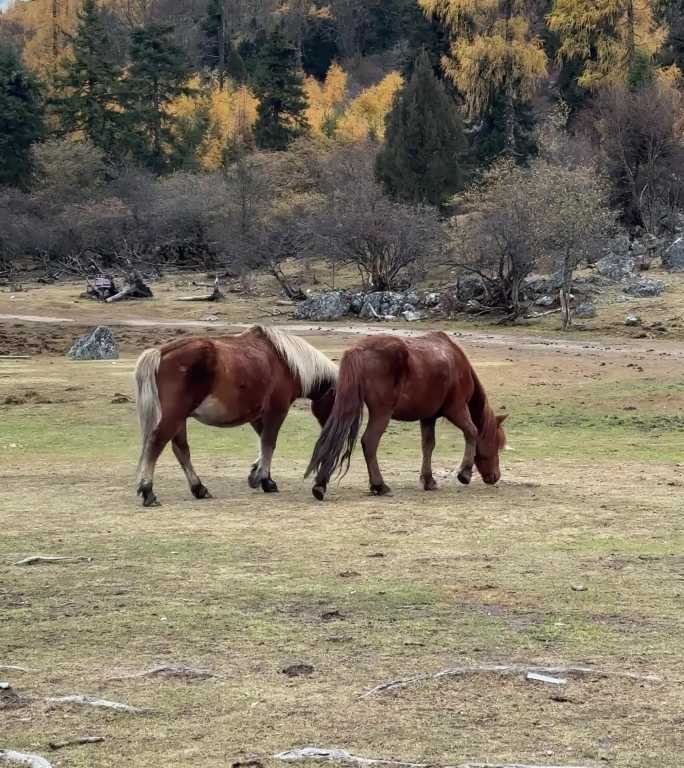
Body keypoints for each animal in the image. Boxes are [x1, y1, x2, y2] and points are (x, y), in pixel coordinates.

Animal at [134, 322, 336, 508]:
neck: (286, 363)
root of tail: (161, 353)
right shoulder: (277, 411)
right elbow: (269, 444)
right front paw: (265, 480)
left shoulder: (257, 416)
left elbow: (263, 444)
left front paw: (258, 475)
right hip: (173, 418)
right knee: (155, 445)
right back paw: (148, 491)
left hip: (180, 420)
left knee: (181, 450)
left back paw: (199, 488)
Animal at [304, 332, 508, 500]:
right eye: (497, 444)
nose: (495, 476)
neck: (456, 362)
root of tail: (359, 350)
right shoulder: (456, 409)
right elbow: (472, 432)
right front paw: (464, 473)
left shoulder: (428, 417)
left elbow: (428, 446)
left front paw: (428, 480)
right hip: (382, 413)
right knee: (369, 442)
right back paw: (379, 485)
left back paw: (320, 486)